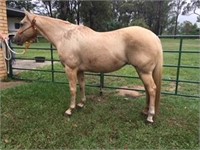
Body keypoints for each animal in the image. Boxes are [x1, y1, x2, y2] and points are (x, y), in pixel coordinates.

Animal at [13, 10, 162, 123]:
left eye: (21, 24)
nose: (14, 39)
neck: (64, 36)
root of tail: (154, 37)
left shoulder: (70, 69)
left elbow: (73, 89)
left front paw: (70, 109)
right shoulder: (80, 70)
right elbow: (82, 86)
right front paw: (81, 103)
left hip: (144, 71)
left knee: (152, 89)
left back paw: (149, 117)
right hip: (142, 71)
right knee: (147, 89)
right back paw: (145, 111)